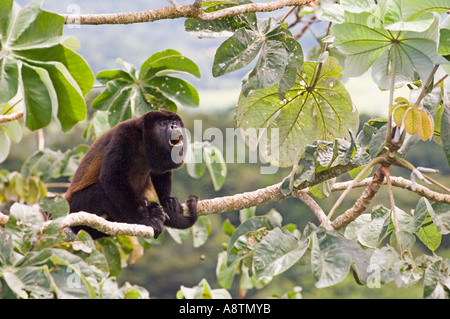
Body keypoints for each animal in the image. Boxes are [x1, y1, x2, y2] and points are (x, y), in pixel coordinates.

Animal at [64, 111, 197, 239]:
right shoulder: (124, 135)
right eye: (163, 124)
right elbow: (112, 178)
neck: (142, 140)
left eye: (174, 122)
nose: (173, 126)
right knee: (100, 191)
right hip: (77, 206)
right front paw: (144, 221)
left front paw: (168, 200)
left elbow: (160, 173)